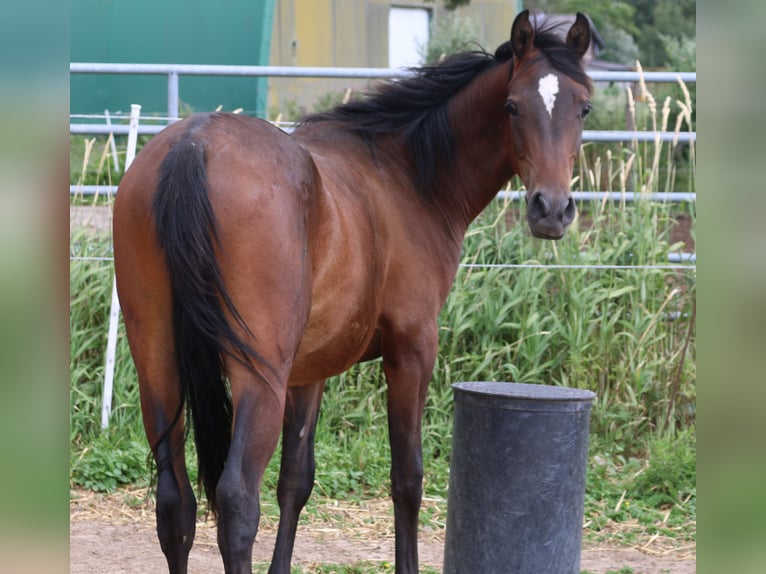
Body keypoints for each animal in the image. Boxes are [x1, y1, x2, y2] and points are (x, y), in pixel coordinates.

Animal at [112, 10, 592, 574]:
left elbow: (295, 481)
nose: (551, 209)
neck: (404, 175)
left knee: (175, 505)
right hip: (258, 378)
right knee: (236, 501)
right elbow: (407, 479)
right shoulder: (412, 352)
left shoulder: (308, 373)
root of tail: (193, 143)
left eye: (583, 107)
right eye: (513, 106)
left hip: (159, 367)